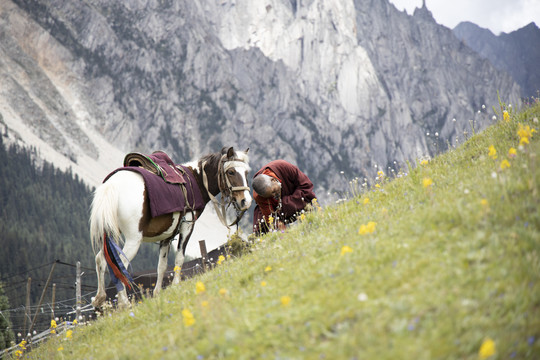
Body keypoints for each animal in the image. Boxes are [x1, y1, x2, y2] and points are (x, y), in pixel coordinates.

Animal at [89, 146, 251, 306]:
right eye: (231, 172)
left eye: (246, 172)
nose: (246, 201)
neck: (196, 180)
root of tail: (112, 185)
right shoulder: (187, 226)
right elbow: (179, 258)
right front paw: (176, 285)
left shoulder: (167, 236)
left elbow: (162, 265)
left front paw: (157, 294)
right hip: (133, 240)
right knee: (119, 265)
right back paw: (124, 303)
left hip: (110, 236)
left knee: (101, 259)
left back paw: (100, 298)